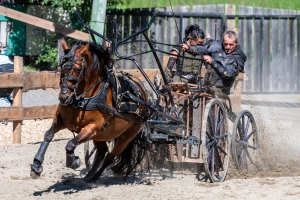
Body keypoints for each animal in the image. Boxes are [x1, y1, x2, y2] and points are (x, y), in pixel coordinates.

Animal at [29, 40, 149, 181]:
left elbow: (70, 144)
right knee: (102, 152)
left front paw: (73, 161)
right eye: (62, 68)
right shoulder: (62, 120)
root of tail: (141, 91)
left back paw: (95, 176)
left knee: (110, 156)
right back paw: (90, 174)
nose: (64, 97)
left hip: (126, 137)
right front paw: (36, 166)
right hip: (101, 136)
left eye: (76, 69)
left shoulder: (92, 128)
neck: (82, 98)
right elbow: (48, 135)